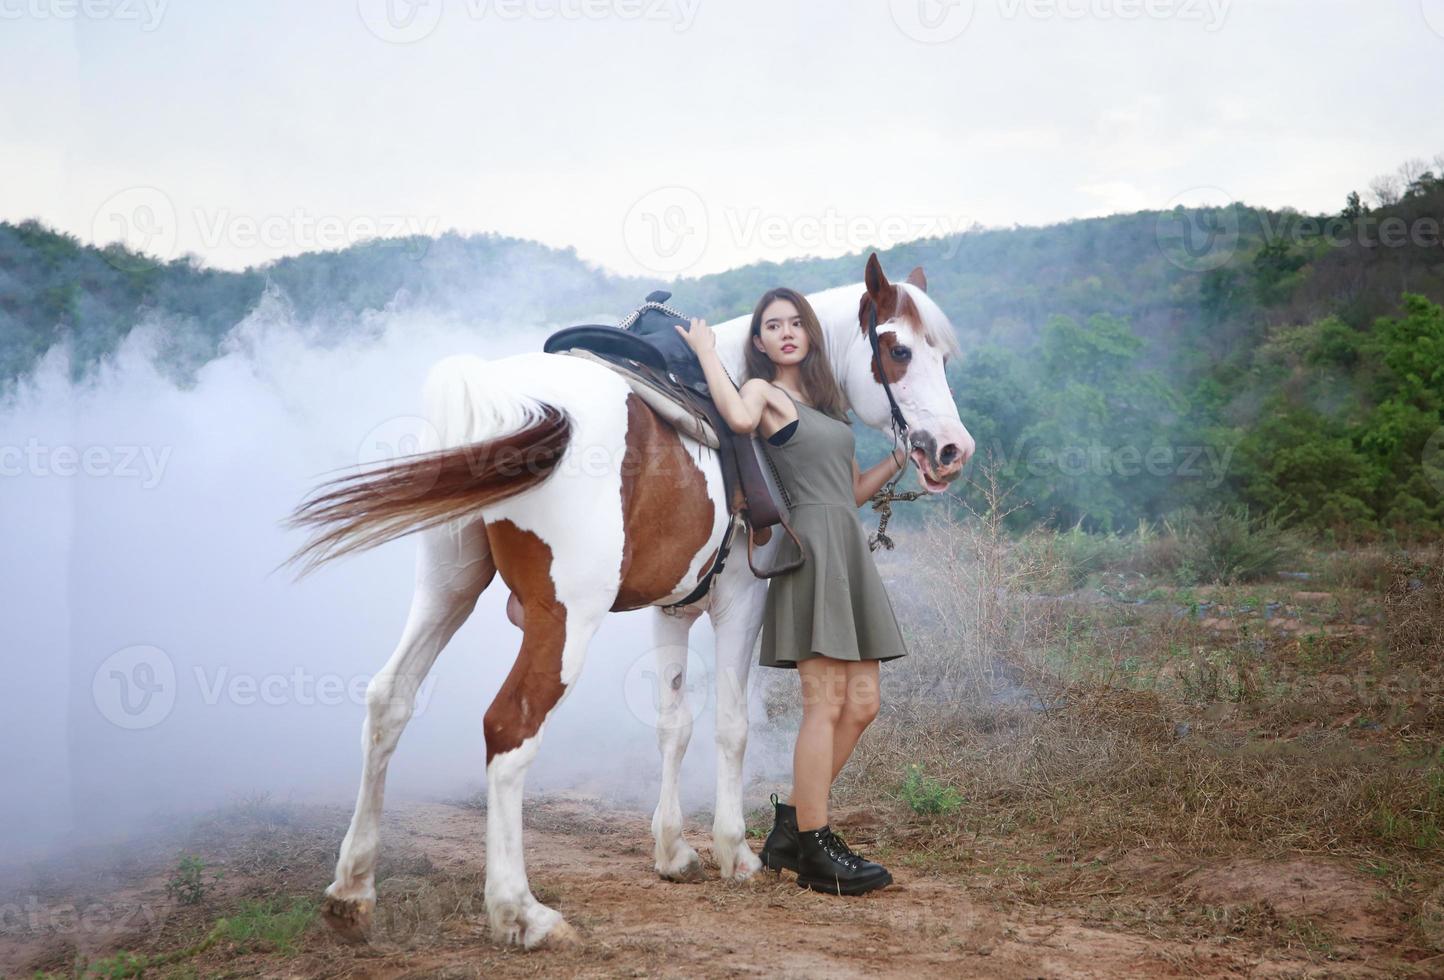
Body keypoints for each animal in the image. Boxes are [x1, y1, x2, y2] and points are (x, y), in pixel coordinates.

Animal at [284, 251, 970, 952]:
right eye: (898, 350)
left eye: (943, 357)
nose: (951, 449)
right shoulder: (741, 603)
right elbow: (731, 727)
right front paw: (735, 852)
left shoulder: (672, 610)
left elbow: (674, 723)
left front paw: (672, 851)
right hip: (564, 620)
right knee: (509, 729)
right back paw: (520, 911)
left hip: (446, 587)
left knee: (388, 701)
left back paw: (352, 890)